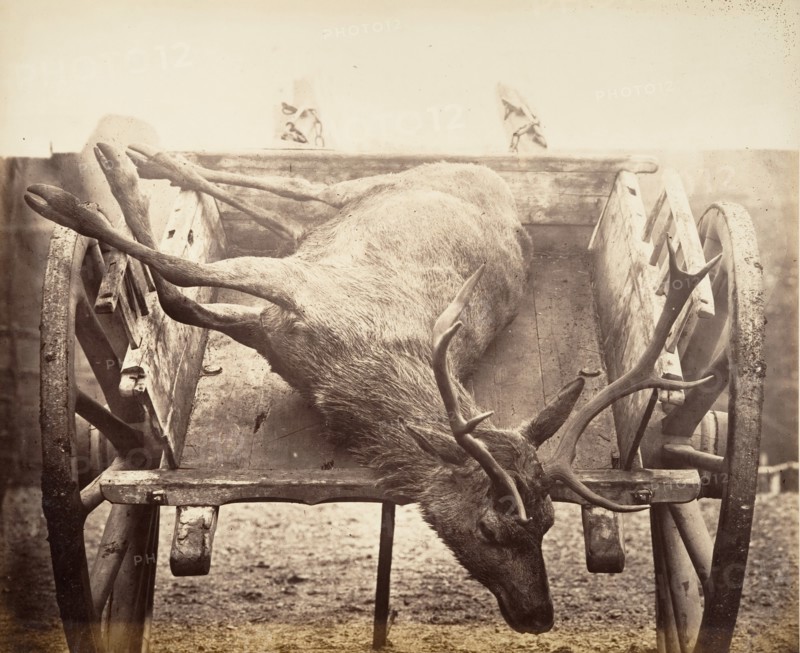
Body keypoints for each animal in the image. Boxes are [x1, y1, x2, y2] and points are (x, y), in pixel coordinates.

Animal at [25, 142, 718, 634]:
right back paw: (132, 160)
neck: (345, 373)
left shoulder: (274, 322)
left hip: (342, 215)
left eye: (548, 524)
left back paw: (137, 162)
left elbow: (180, 293)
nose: (539, 617)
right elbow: (179, 271)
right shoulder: (295, 289)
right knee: (296, 187)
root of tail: (493, 175)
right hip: (373, 187)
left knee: (286, 215)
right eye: (493, 527)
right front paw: (67, 205)